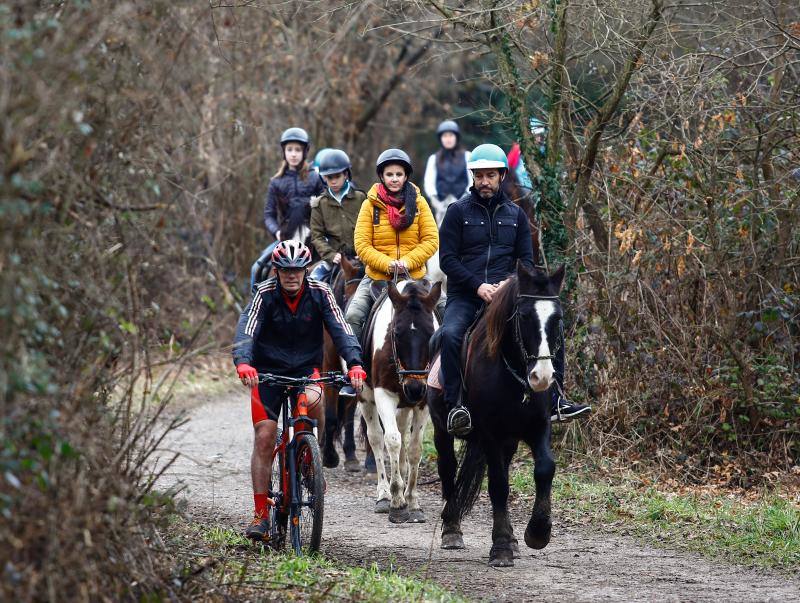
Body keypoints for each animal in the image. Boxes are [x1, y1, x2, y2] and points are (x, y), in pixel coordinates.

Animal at [360, 280, 440, 520]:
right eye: (395, 332)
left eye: (431, 332)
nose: (414, 388)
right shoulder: (384, 395)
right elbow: (392, 440)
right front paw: (396, 499)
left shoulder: (423, 403)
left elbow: (414, 448)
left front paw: (412, 500)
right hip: (366, 397)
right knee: (377, 438)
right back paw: (384, 495)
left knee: (403, 430)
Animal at [428, 264, 564, 568]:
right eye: (524, 315)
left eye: (557, 317)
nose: (542, 377)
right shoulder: (490, 433)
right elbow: (499, 485)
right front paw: (500, 548)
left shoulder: (539, 426)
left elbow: (545, 468)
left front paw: (537, 533)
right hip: (442, 429)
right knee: (448, 468)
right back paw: (452, 530)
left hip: (510, 441)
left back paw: (513, 539)